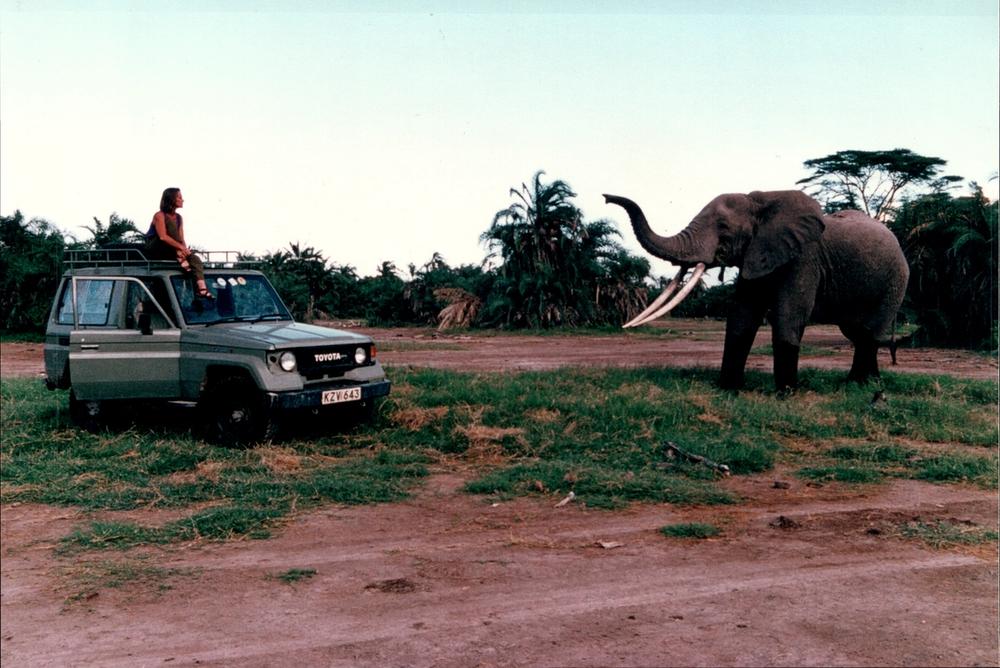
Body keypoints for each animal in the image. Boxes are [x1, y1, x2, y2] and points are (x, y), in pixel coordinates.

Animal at [603, 190, 909, 391]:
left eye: (724, 228)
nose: (606, 197)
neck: (761, 200)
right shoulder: (756, 254)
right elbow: (742, 316)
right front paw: (728, 389)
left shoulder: (804, 258)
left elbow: (789, 316)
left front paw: (786, 394)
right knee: (856, 332)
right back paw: (865, 383)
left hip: (896, 280)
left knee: (869, 331)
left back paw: (859, 385)